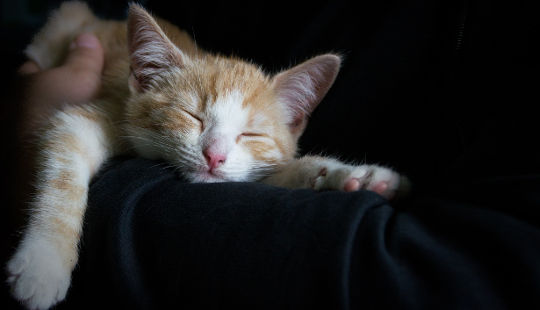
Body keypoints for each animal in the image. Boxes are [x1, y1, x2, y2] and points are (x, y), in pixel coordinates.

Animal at [6, 1, 408, 308]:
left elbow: (284, 172)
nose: (214, 156)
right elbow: (63, 170)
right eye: (192, 116)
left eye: (250, 134)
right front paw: (43, 263)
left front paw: (354, 177)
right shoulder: (99, 113)